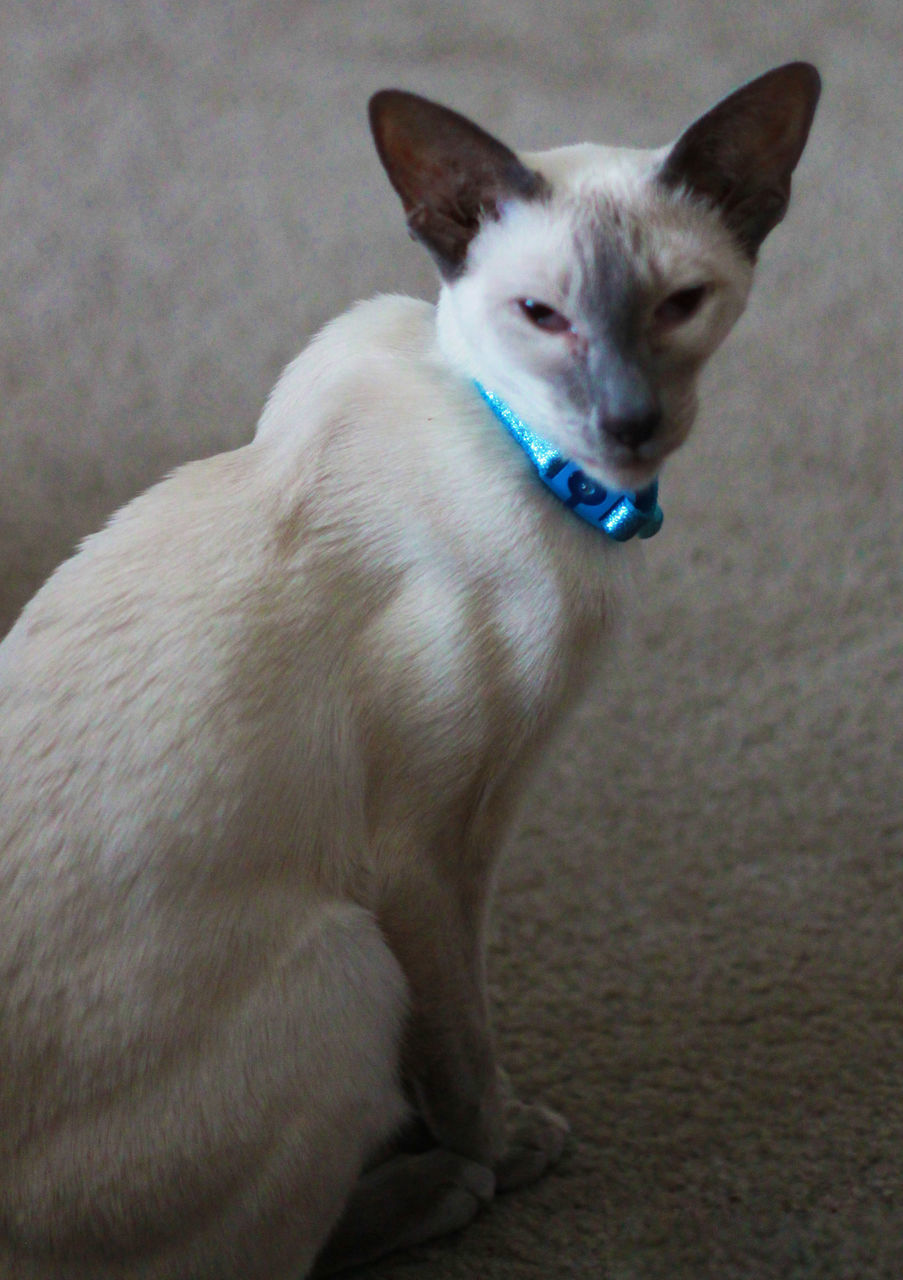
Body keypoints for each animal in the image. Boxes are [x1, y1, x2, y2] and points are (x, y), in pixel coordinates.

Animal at [0, 62, 819, 1280]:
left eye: (680, 305)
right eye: (542, 318)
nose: (630, 420)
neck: (538, 463)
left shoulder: (487, 817)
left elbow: (459, 1035)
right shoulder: (425, 852)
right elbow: (461, 1041)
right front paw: (508, 1141)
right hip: (347, 964)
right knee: (271, 1257)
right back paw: (443, 1186)